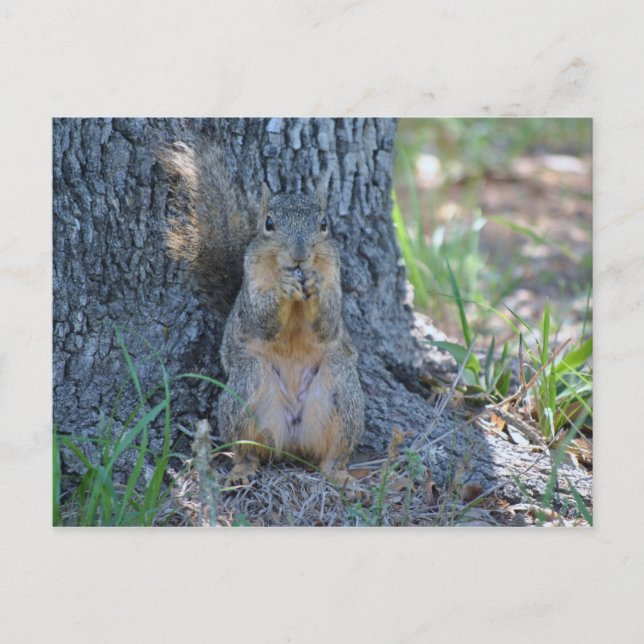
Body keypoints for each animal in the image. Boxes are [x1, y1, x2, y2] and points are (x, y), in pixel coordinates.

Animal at [158, 140, 365, 485]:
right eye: (269, 223)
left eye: (324, 224)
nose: (299, 256)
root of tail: (293, 436)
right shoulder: (251, 288)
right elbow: (260, 319)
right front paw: (283, 287)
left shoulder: (334, 276)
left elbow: (329, 324)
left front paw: (314, 285)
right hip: (247, 384)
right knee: (246, 448)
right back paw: (242, 470)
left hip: (343, 390)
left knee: (333, 453)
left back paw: (339, 474)